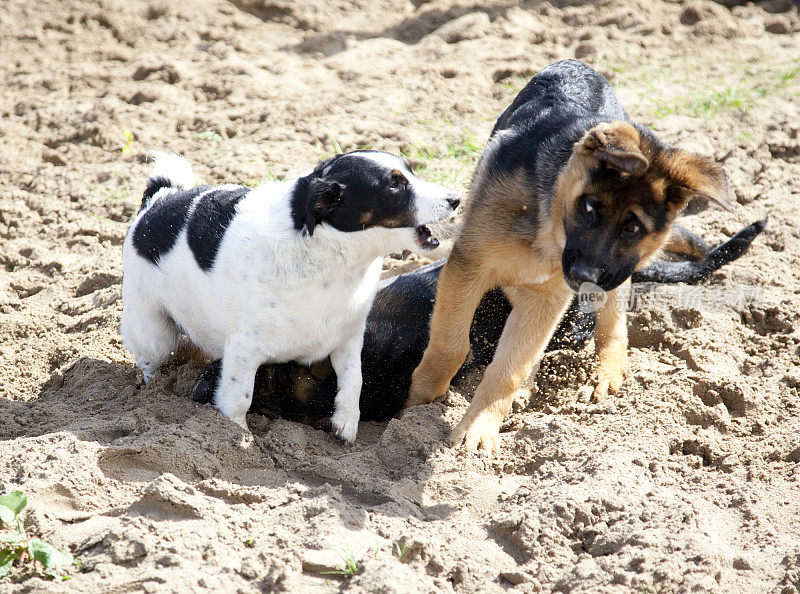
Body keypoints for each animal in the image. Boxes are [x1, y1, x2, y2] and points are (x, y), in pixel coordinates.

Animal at [118, 153, 456, 440]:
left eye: (411, 171)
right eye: (394, 185)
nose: (456, 199)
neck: (334, 262)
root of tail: (159, 198)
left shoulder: (348, 338)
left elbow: (353, 380)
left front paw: (346, 423)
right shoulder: (244, 350)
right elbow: (239, 398)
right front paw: (235, 436)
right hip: (154, 335)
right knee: (148, 361)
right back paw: (154, 391)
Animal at [410, 59, 740, 448]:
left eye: (633, 228)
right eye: (589, 207)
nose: (585, 276)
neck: (547, 224)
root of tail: (578, 64)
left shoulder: (549, 295)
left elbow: (510, 367)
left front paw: (479, 427)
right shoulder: (469, 267)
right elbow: (450, 346)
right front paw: (416, 406)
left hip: (615, 274)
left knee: (613, 322)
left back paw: (606, 372)